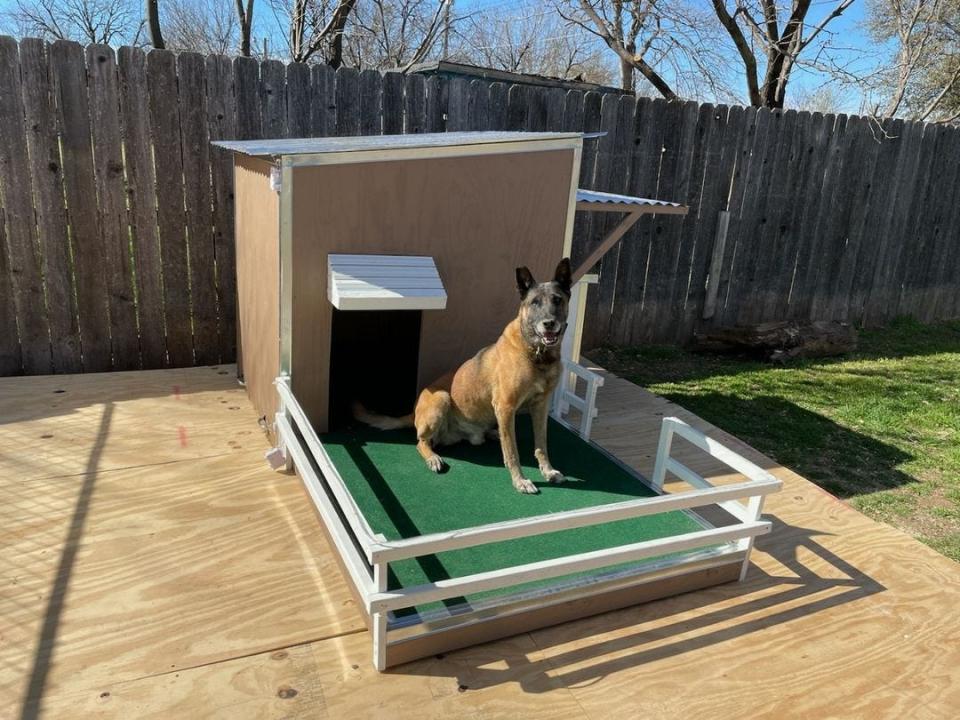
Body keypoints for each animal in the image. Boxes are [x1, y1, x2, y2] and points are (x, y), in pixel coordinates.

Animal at [358, 258, 568, 496]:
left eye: (557, 300)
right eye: (534, 303)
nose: (549, 323)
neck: (537, 353)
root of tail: (413, 414)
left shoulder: (540, 406)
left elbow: (541, 444)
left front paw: (548, 471)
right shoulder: (506, 406)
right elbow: (512, 452)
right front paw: (519, 480)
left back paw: (493, 434)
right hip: (441, 398)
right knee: (421, 441)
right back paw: (433, 457)